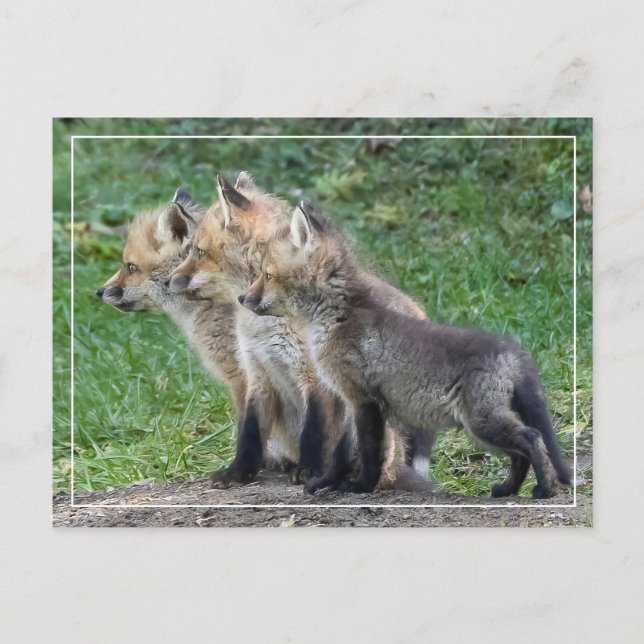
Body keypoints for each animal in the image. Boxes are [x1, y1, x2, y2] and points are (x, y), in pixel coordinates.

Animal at [168, 173, 434, 491]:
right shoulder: (258, 373)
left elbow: (314, 432)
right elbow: (249, 435)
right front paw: (238, 473)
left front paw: (308, 471)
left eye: (199, 251)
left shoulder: (314, 375)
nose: (168, 281)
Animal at [239, 201, 574, 498]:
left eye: (267, 275)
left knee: (532, 439)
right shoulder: (350, 401)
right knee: (520, 454)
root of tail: (514, 352)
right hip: (488, 425)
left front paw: (361, 487)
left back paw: (545, 489)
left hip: (483, 423)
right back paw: (508, 490)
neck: (338, 315)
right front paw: (329, 483)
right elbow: (341, 454)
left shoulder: (364, 400)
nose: (243, 298)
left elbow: (370, 453)